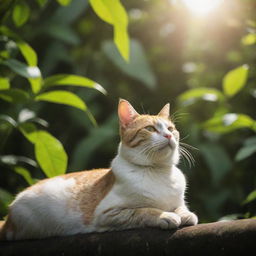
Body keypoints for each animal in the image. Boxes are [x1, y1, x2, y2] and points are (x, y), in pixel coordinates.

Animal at [0, 99, 198, 240]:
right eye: (150, 128)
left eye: (171, 128)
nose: (169, 135)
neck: (158, 171)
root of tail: (8, 217)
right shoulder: (108, 214)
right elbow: (143, 210)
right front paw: (165, 215)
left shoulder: (178, 201)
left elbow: (181, 208)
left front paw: (185, 214)